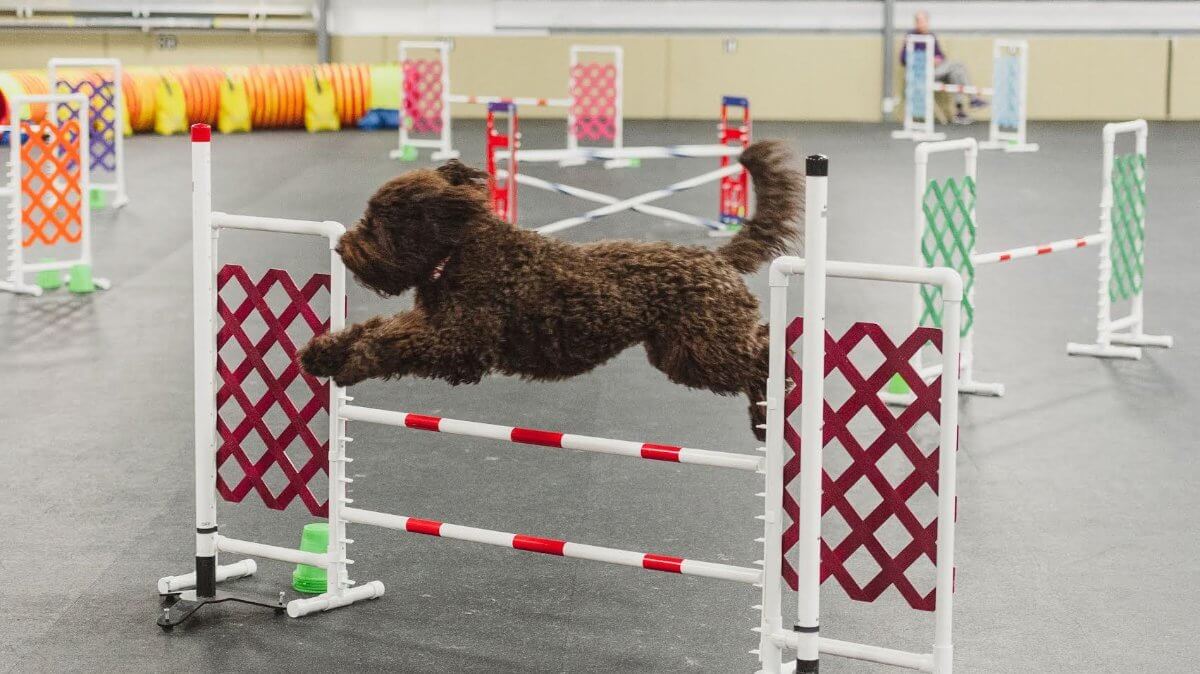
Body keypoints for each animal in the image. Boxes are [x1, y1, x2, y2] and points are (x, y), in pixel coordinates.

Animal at [300, 139, 806, 438]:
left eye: (378, 222)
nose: (343, 246)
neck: (461, 250)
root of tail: (716, 257)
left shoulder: (460, 343)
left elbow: (391, 341)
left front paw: (356, 362)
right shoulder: (431, 321)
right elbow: (375, 326)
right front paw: (324, 352)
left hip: (705, 347)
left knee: (762, 351)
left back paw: (772, 397)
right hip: (680, 354)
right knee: (755, 348)